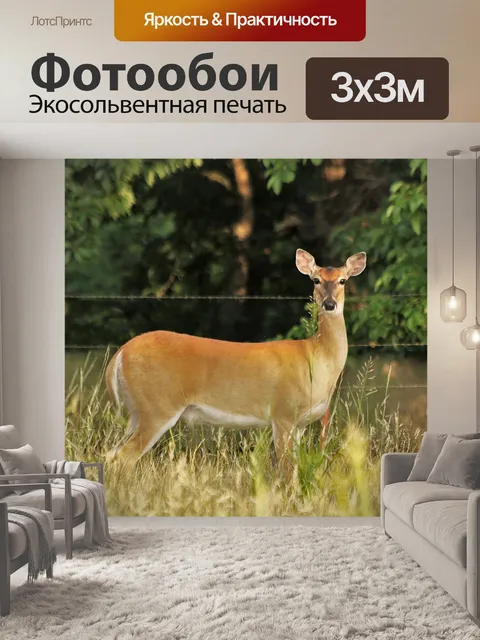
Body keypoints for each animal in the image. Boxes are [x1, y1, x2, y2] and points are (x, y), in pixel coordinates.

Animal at [105, 249, 366, 471]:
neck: (315, 357)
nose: (329, 304)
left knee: (110, 454)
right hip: (158, 405)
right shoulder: (282, 413)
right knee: (123, 457)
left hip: (138, 410)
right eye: (316, 280)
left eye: (343, 280)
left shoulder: (300, 423)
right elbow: (285, 469)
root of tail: (120, 353)